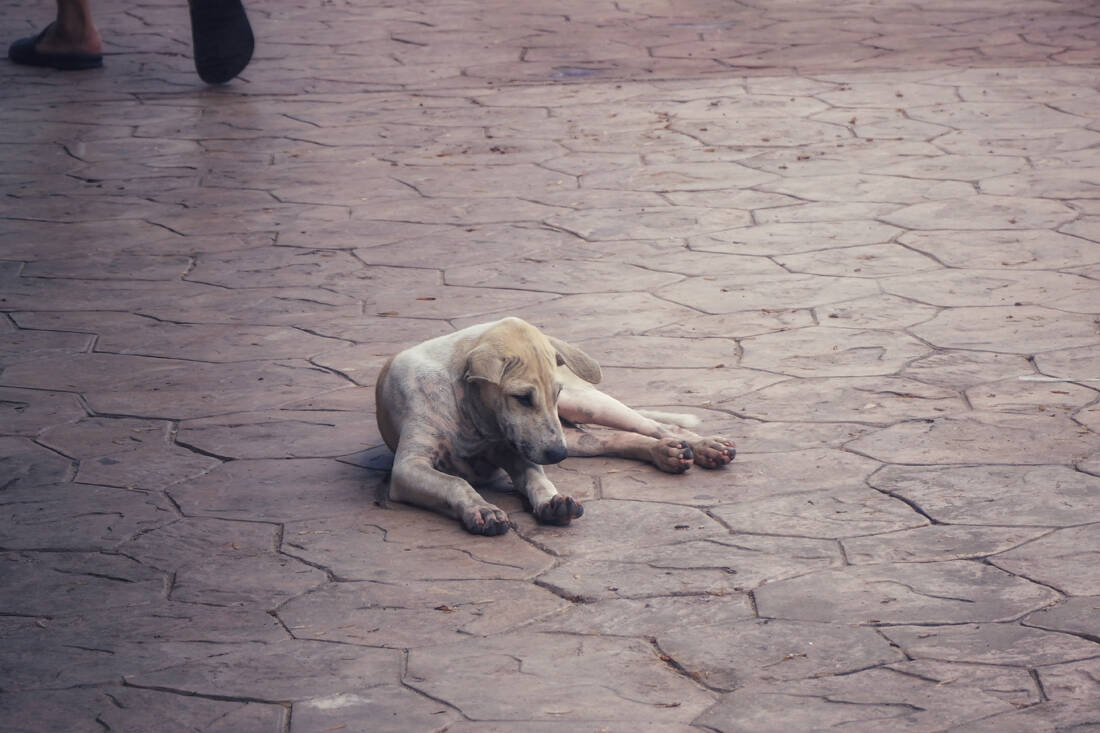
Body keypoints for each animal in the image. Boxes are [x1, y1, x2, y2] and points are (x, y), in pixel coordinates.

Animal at [375, 317, 736, 535]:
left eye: (554, 393)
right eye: (521, 397)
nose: (557, 455)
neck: (472, 417)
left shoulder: (519, 452)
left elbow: (536, 478)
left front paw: (550, 501)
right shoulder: (408, 467)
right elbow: (455, 483)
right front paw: (482, 509)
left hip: (582, 408)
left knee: (655, 426)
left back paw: (702, 446)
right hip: (572, 437)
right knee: (614, 438)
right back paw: (666, 453)